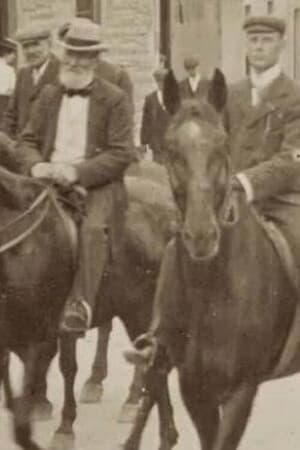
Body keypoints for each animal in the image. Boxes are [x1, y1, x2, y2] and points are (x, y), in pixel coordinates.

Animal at [125, 70, 300, 450]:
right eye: (171, 148)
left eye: (222, 145)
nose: (201, 235)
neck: (209, 287)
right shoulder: (194, 388)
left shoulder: (241, 391)